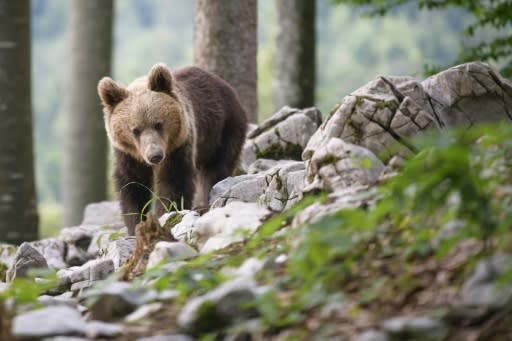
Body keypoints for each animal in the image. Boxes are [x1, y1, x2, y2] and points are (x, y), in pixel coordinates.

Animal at [97, 63, 248, 234]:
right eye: (135, 130)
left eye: (158, 124)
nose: (155, 155)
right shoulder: (127, 154)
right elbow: (133, 184)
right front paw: (135, 223)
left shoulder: (178, 145)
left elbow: (174, 181)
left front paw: (167, 214)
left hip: (223, 130)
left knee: (215, 169)